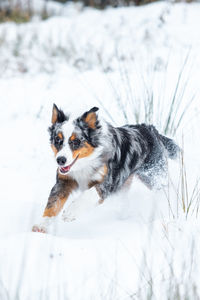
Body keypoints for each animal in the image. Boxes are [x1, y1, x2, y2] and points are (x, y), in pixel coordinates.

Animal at [32, 104, 180, 233]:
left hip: (153, 175)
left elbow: (90, 192)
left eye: (76, 141)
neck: (85, 163)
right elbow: (53, 204)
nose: (60, 160)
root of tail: (151, 129)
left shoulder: (108, 182)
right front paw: (42, 225)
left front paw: (70, 212)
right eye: (58, 140)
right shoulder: (64, 181)